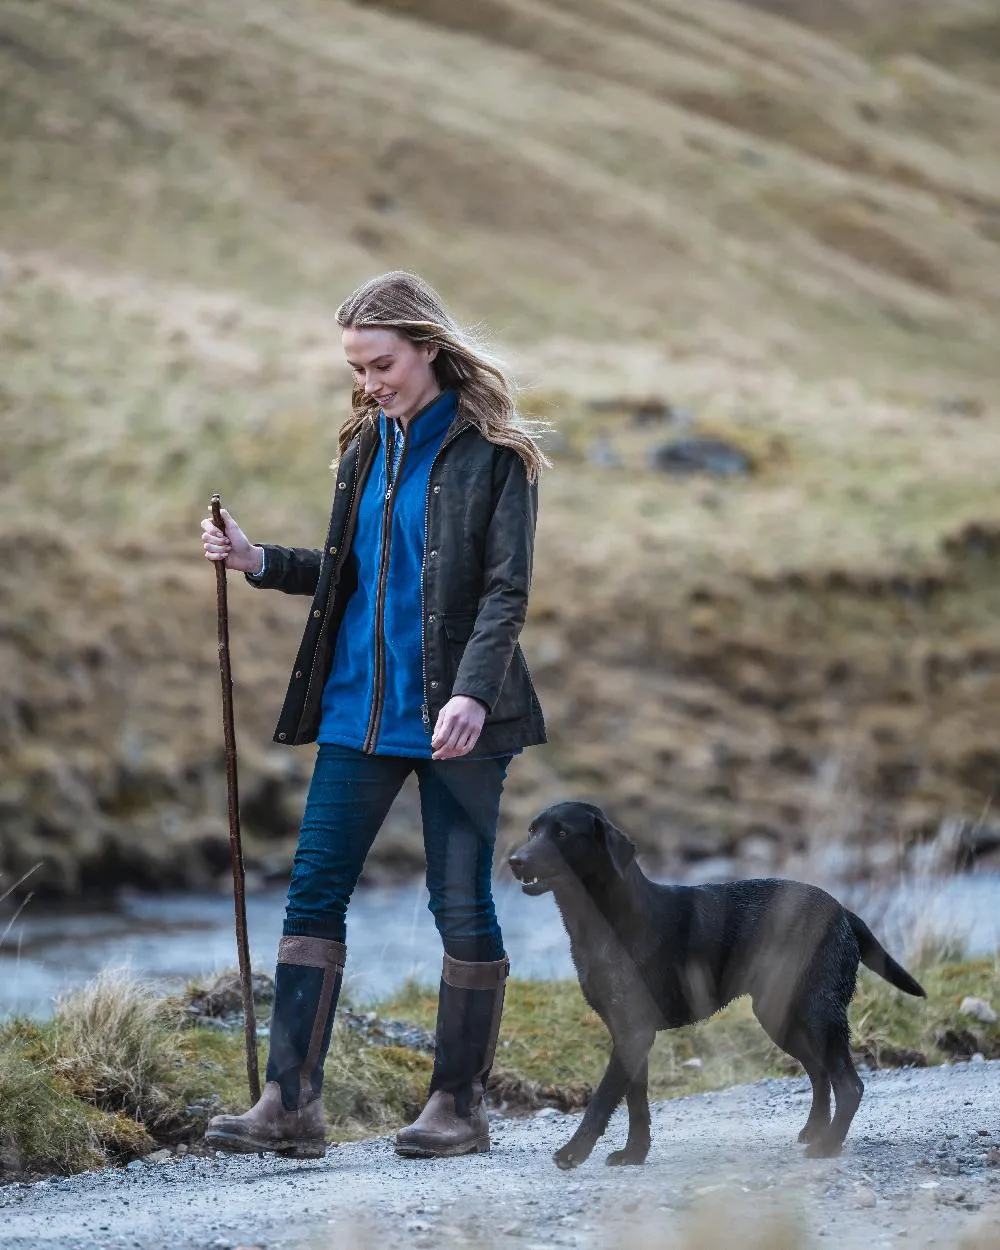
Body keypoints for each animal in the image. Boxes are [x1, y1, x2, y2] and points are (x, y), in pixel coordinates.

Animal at [512, 805, 925, 1165]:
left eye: (562, 833)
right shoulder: (628, 1034)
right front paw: (634, 1154)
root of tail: (841, 911)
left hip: (818, 1013)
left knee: (849, 1085)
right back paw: (816, 1131)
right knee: (819, 1072)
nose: (515, 860)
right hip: (780, 1015)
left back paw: (828, 1145)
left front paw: (573, 1153)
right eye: (531, 831)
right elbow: (636, 1103)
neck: (609, 920)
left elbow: (602, 1101)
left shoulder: (634, 1032)